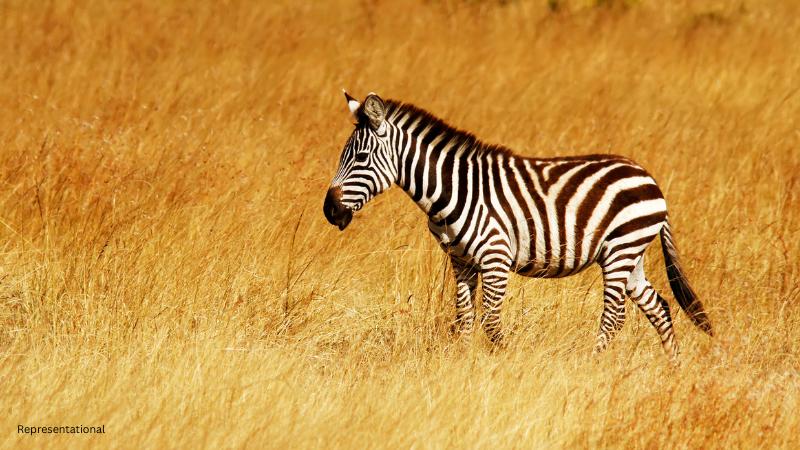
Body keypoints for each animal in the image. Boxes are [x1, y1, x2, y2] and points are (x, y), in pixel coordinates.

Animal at [323, 91, 712, 361]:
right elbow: (464, 319)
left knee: (614, 317)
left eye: (360, 157)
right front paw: (462, 365)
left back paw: (593, 364)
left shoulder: (495, 257)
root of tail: (649, 178)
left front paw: (503, 361)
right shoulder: (461, 261)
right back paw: (674, 368)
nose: (329, 211)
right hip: (630, 256)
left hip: (621, 249)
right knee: (659, 307)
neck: (453, 189)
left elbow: (491, 322)